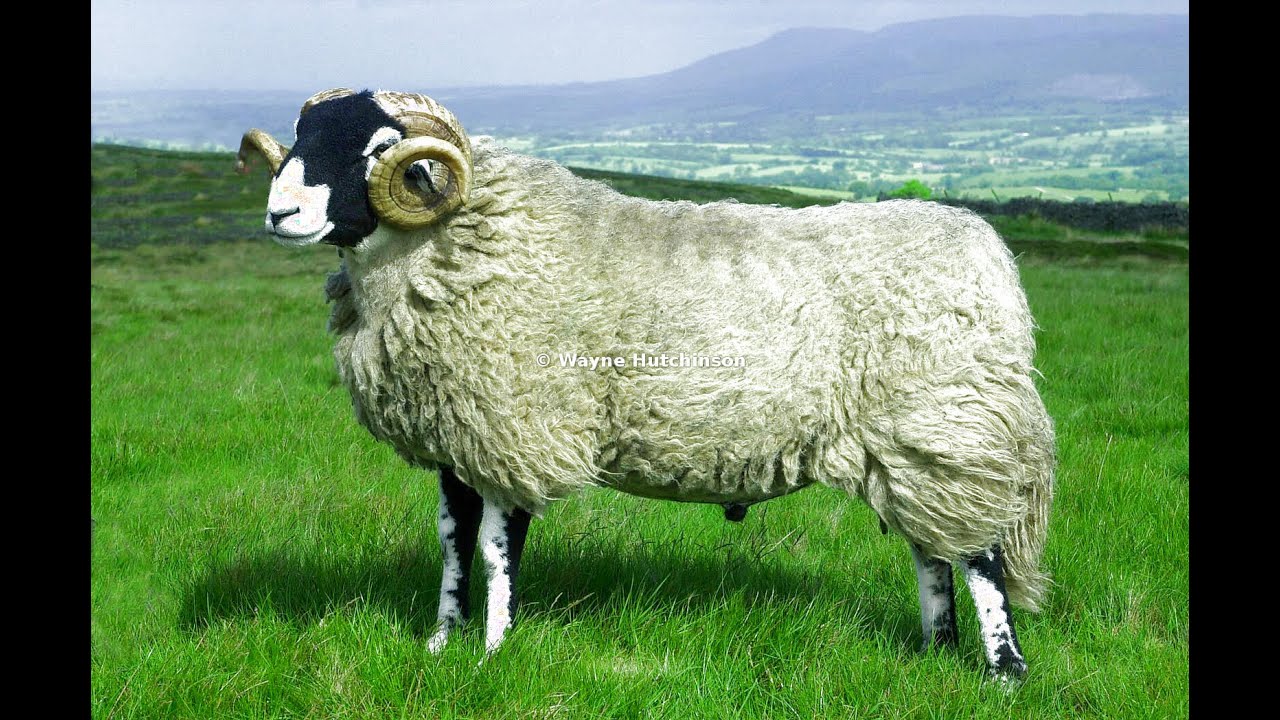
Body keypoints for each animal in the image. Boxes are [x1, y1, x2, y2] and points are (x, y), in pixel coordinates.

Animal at [237, 88, 1055, 679]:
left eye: (379, 149)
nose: (281, 213)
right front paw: (441, 642)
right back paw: (935, 652)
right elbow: (453, 541)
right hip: (914, 441)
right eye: (299, 136)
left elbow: (499, 549)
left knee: (979, 554)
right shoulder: (457, 438)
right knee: (934, 549)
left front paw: (494, 652)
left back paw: (1002, 671)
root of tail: (988, 252)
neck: (455, 243)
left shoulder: (517, 430)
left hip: (953, 422)